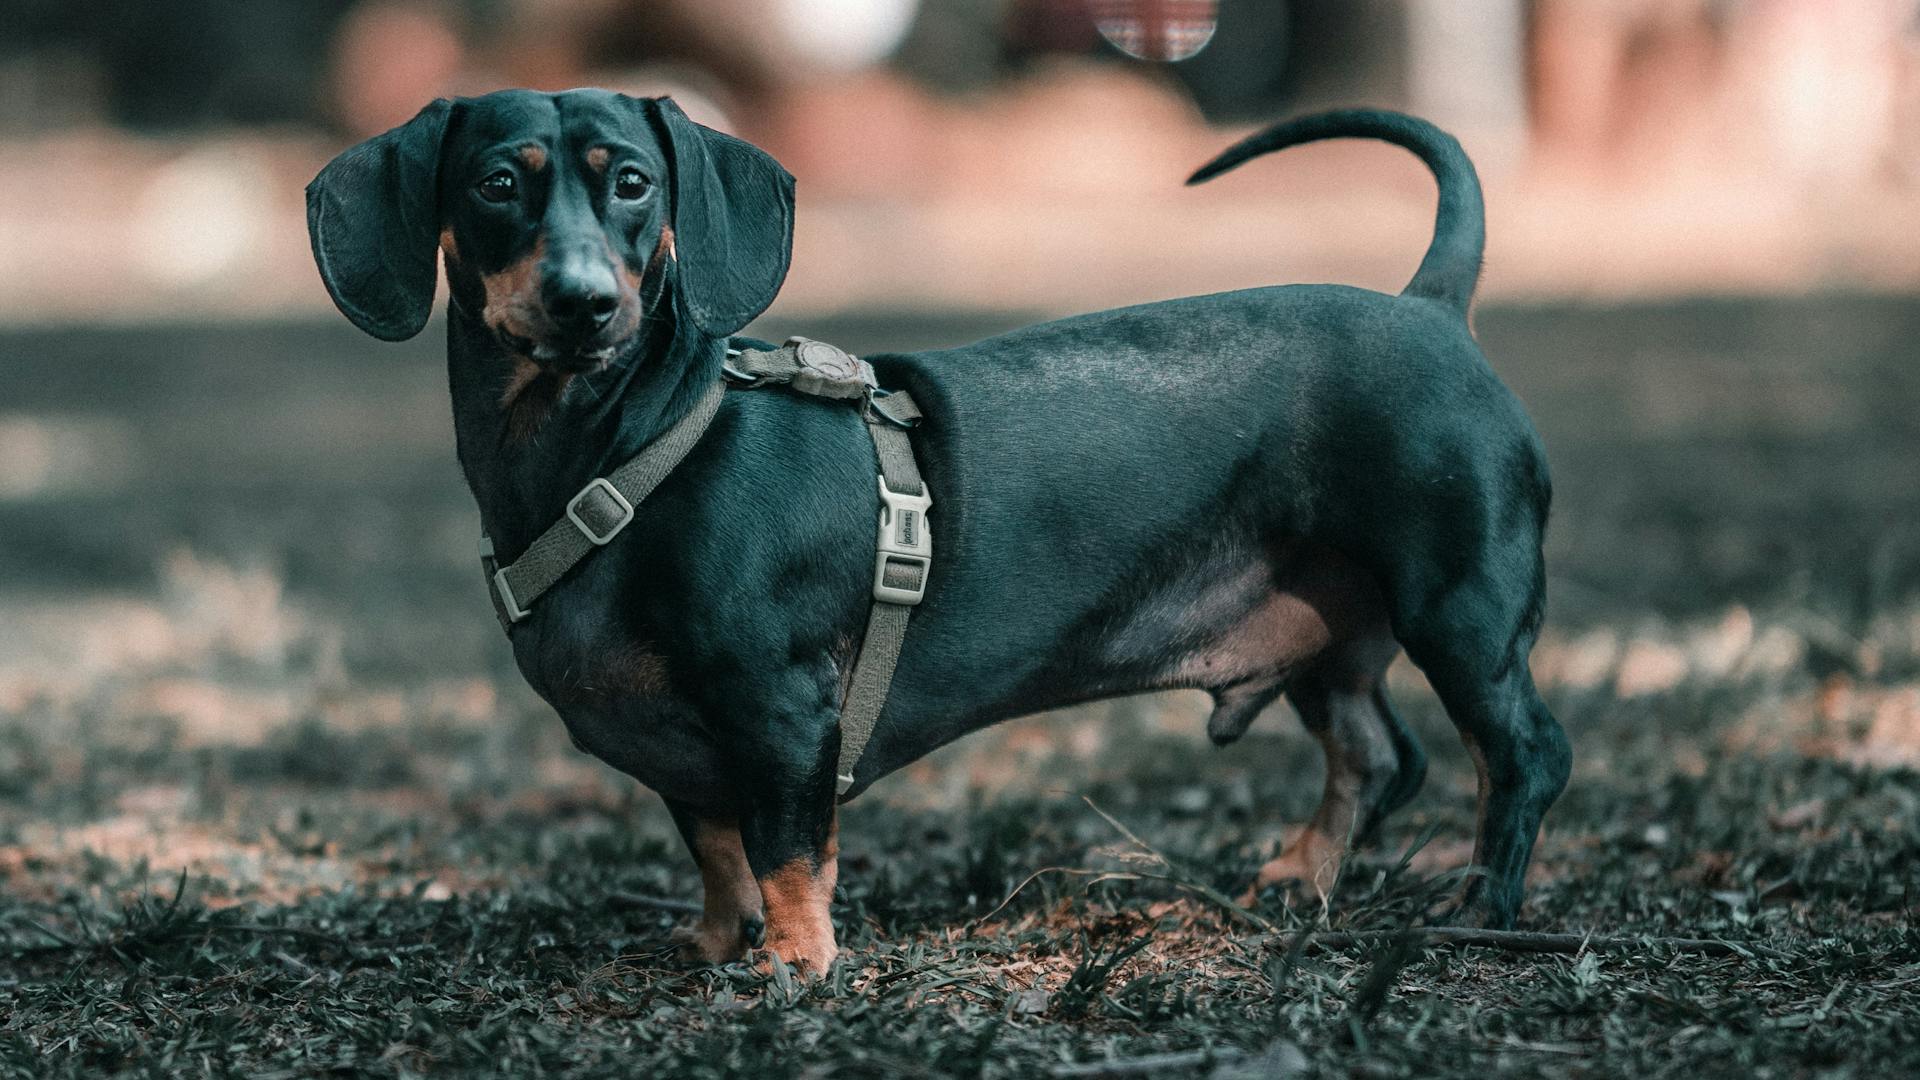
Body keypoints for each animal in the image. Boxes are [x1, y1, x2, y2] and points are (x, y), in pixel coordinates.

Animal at [307, 90, 1566, 968]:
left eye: (631, 183)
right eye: (494, 185)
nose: (586, 304)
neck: (627, 444)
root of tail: (1430, 307)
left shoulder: (781, 707)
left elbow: (785, 848)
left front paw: (794, 959)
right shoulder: (687, 744)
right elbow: (716, 848)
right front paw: (716, 939)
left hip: (1462, 614)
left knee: (1524, 755)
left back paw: (1484, 907)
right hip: (1330, 637)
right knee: (1376, 756)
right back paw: (1301, 876)